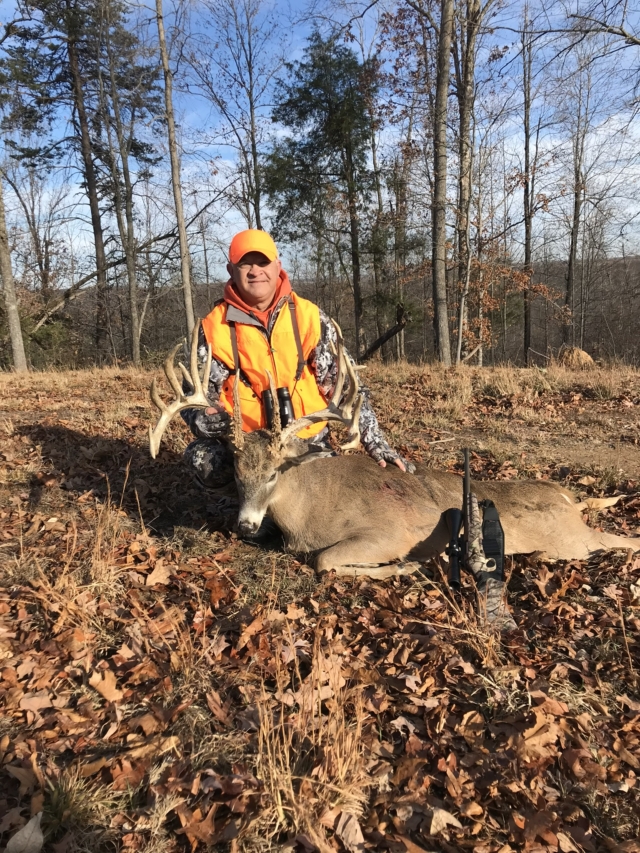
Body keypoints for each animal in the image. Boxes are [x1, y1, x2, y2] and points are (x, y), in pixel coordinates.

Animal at [148, 323, 638, 579]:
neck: (307, 512)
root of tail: (568, 499)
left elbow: (325, 561)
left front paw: (402, 568)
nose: (246, 525)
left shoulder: (387, 532)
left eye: (275, 472)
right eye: (236, 471)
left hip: (573, 539)